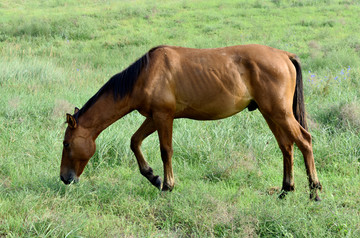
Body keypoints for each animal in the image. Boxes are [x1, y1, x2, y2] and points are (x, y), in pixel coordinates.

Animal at [60, 43, 322, 200]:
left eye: (66, 144)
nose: (64, 178)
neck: (146, 74)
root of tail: (284, 56)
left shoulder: (163, 117)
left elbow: (166, 150)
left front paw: (167, 185)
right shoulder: (153, 118)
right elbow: (135, 142)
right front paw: (153, 177)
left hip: (280, 113)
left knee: (304, 141)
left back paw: (314, 192)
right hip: (270, 114)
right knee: (286, 147)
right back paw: (285, 190)